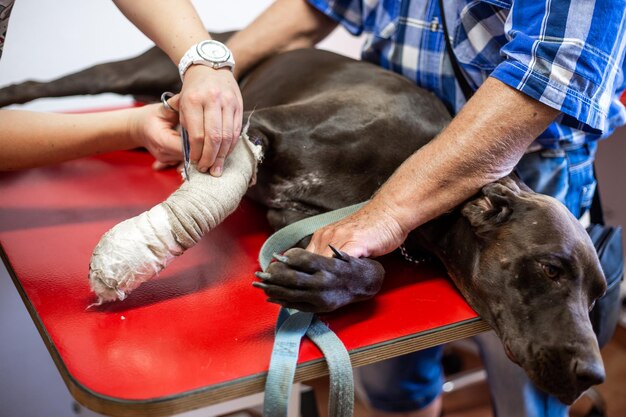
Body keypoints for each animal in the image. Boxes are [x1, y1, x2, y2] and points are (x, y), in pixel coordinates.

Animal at [0, 42, 604, 404]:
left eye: (598, 296)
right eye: (550, 269)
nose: (593, 376)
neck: (407, 163)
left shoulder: (299, 215)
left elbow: (369, 269)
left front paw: (324, 282)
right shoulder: (258, 126)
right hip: (139, 70)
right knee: (46, 84)